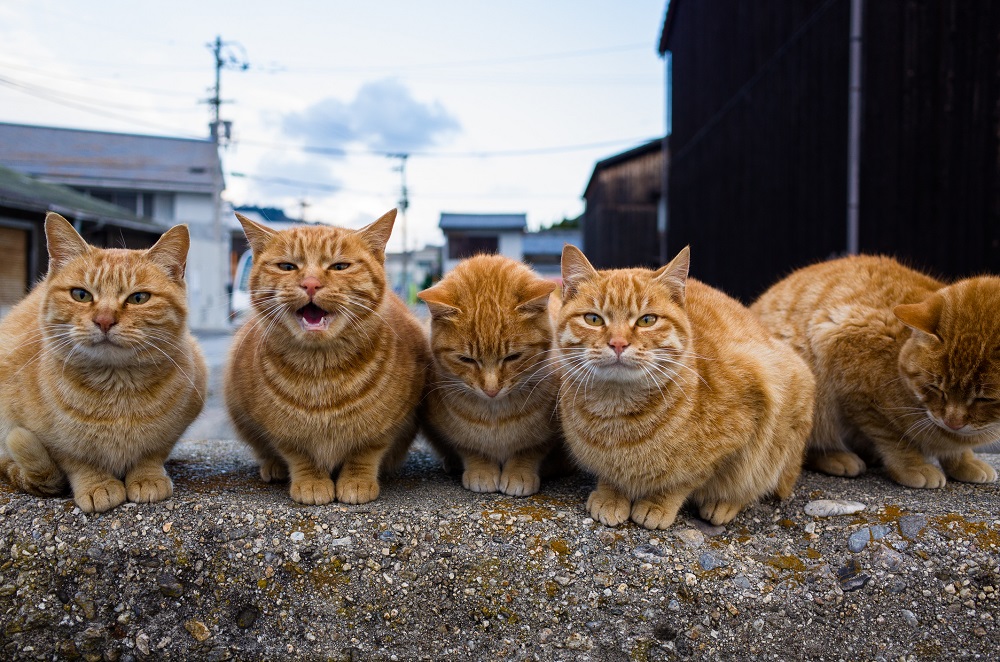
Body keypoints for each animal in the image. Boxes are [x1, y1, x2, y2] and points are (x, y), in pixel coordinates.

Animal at [0, 215, 205, 516]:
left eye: (139, 298)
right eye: (81, 295)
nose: (104, 320)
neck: (116, 390)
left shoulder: (175, 426)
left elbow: (152, 453)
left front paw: (147, 477)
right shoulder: (48, 438)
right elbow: (77, 460)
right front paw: (97, 484)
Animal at [418, 256, 568, 496]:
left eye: (513, 357)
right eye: (466, 359)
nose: (491, 390)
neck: (495, 415)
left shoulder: (547, 435)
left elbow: (529, 451)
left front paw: (519, 473)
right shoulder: (451, 431)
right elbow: (470, 448)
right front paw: (481, 470)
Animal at [556, 246, 812, 532]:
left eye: (647, 320)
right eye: (593, 319)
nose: (618, 343)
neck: (617, 412)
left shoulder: (738, 433)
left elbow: (685, 480)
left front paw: (658, 503)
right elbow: (610, 475)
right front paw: (610, 494)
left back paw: (723, 503)